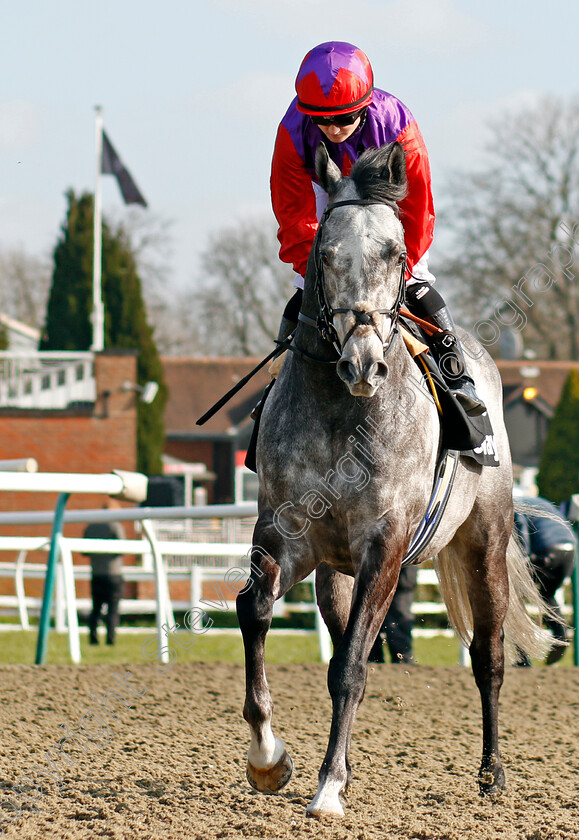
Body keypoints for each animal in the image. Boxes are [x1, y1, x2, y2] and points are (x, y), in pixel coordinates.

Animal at [237, 141, 552, 816]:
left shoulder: (383, 545)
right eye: (326, 254)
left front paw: (328, 787)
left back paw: (492, 773)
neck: (342, 411)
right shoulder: (287, 535)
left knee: (488, 656)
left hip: (483, 542)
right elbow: (257, 614)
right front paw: (270, 759)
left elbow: (353, 665)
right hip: (334, 574)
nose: (363, 363)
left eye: (395, 253)